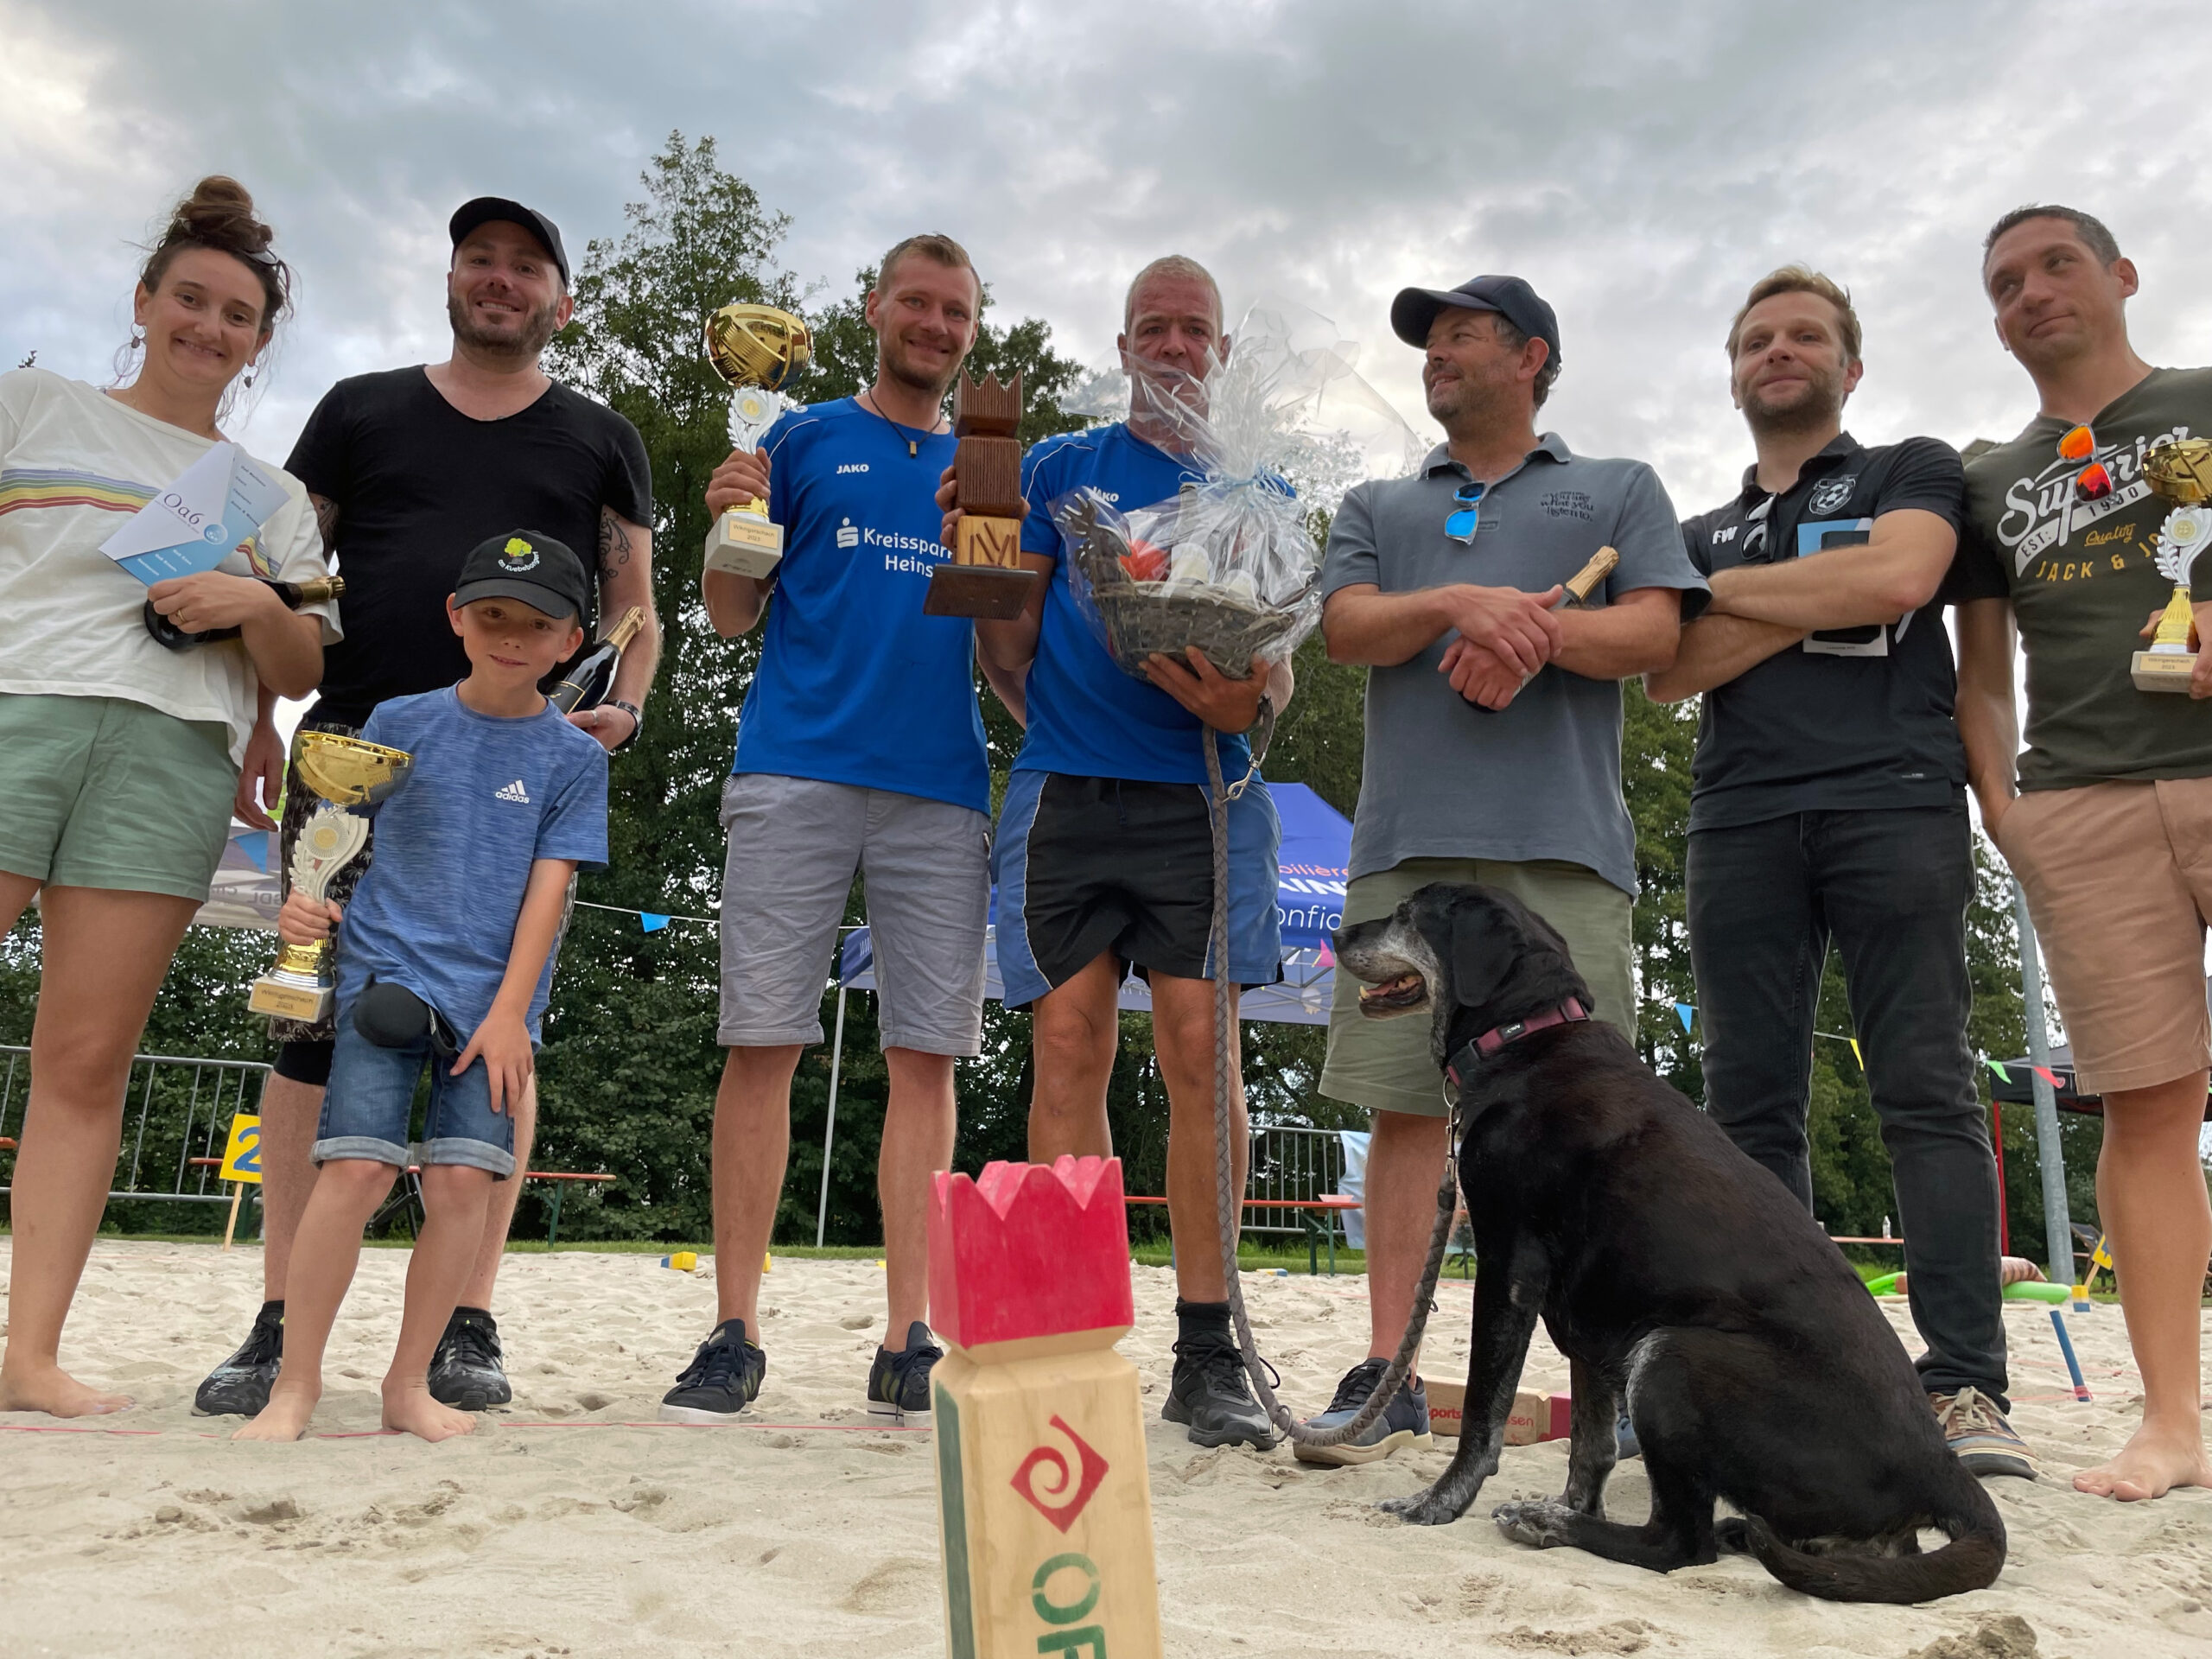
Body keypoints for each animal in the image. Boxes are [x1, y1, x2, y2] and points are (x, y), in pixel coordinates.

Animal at [1334, 882, 2003, 1603]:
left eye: (1407, 914)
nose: (1337, 935)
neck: (1527, 1039)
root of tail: (1938, 1468)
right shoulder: (1586, 1318)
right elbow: (1591, 1446)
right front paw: (1568, 1503)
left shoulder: (1508, 1267)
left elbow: (1484, 1414)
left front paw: (1439, 1503)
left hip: (1669, 1356)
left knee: (1681, 1543)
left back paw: (1568, 1529)